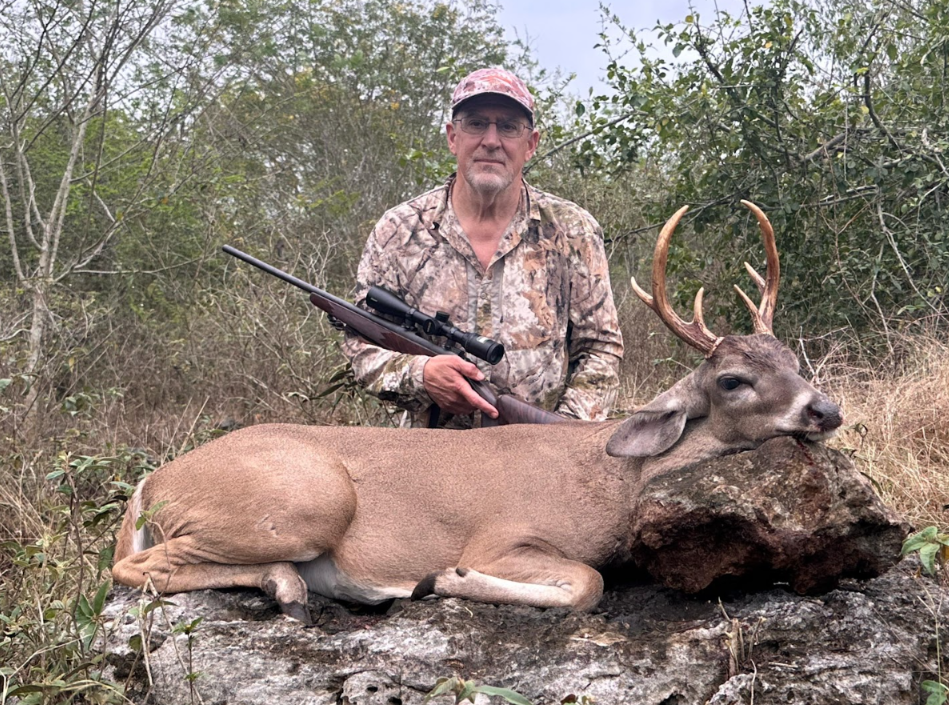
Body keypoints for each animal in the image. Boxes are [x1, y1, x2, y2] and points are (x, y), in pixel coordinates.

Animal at [112, 201, 842, 624]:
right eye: (732, 380)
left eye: (790, 357)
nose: (825, 409)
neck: (611, 480)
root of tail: (153, 482)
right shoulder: (507, 536)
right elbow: (586, 582)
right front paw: (442, 577)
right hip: (302, 500)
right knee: (133, 570)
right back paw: (290, 587)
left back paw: (287, 584)